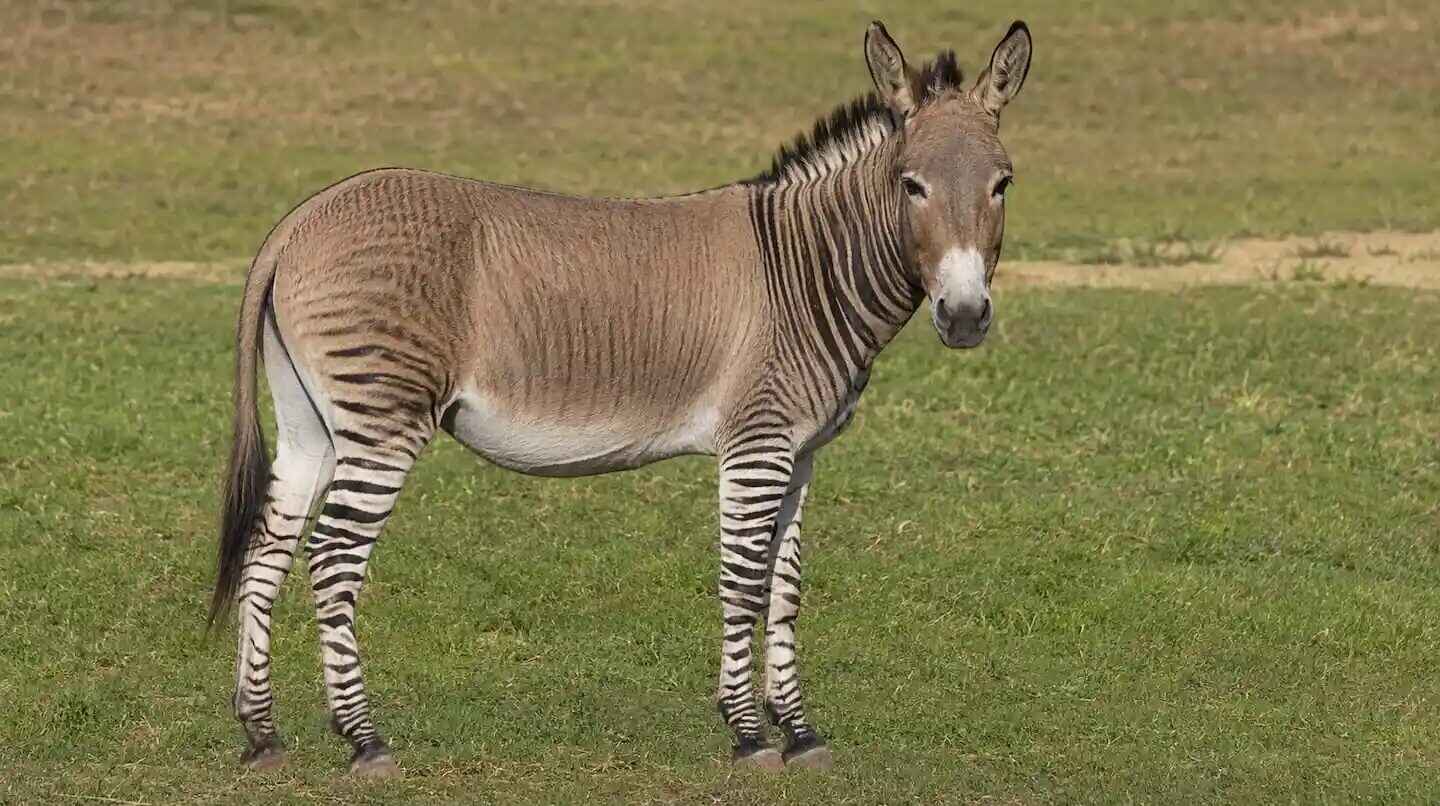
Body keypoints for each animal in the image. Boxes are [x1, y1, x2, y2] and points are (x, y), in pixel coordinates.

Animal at [211, 20, 1033, 776]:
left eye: (1003, 184)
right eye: (910, 185)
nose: (964, 317)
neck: (802, 269)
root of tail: (302, 217)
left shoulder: (800, 453)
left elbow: (785, 587)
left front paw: (800, 732)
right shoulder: (757, 445)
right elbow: (743, 581)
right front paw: (748, 735)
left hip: (312, 423)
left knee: (268, 546)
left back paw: (262, 734)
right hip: (383, 419)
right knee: (330, 558)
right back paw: (364, 740)